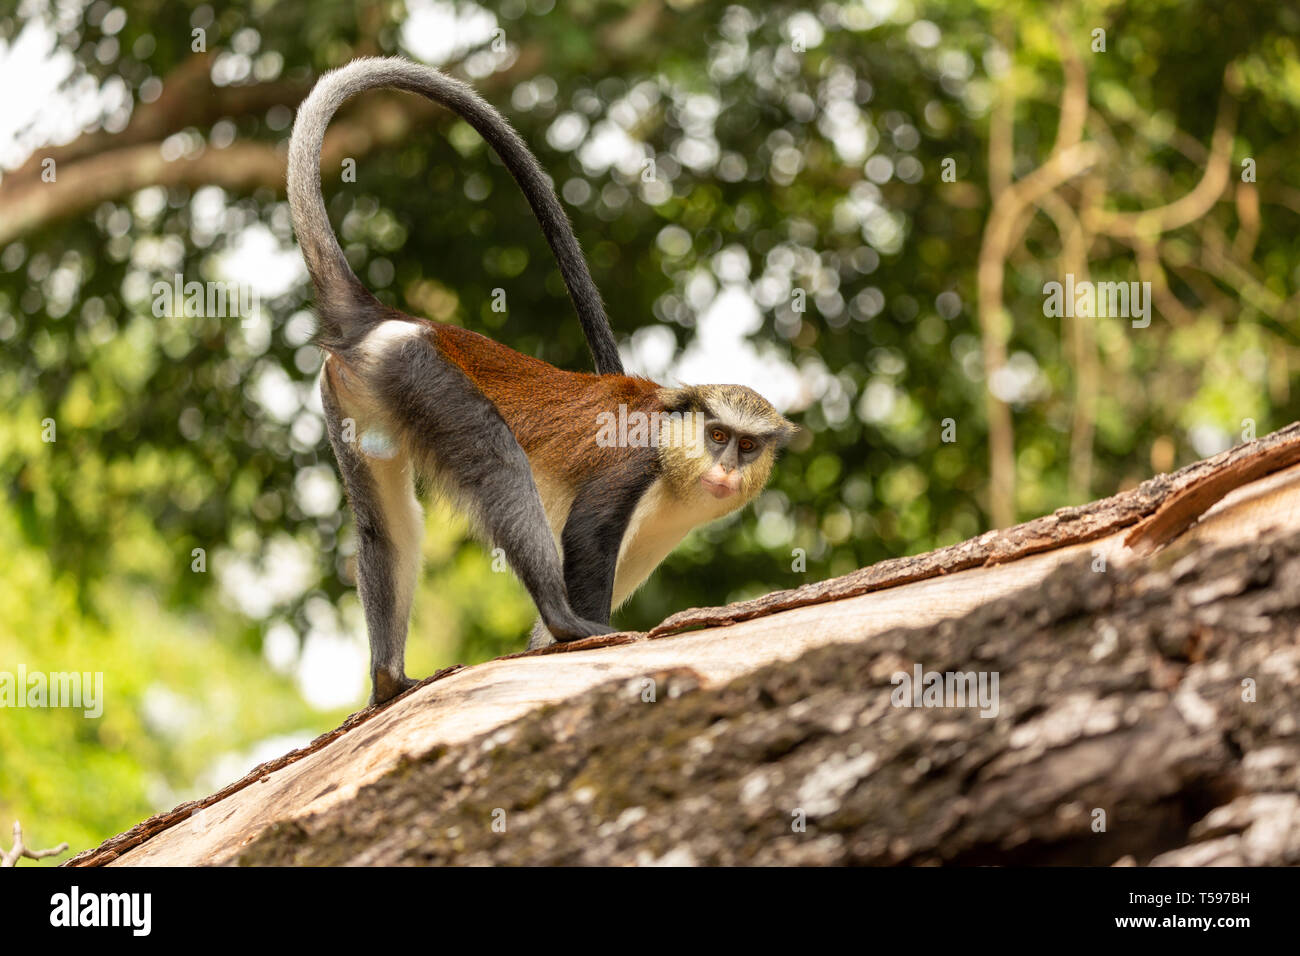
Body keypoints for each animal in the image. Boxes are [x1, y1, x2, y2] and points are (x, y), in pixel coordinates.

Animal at [287, 57, 790, 702]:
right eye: (719, 436)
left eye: (748, 446)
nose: (727, 469)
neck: (677, 465)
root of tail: (390, 319)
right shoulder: (633, 462)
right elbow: (585, 534)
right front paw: (580, 632)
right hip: (421, 369)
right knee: (497, 463)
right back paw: (566, 619)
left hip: (359, 397)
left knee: (386, 528)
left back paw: (389, 677)